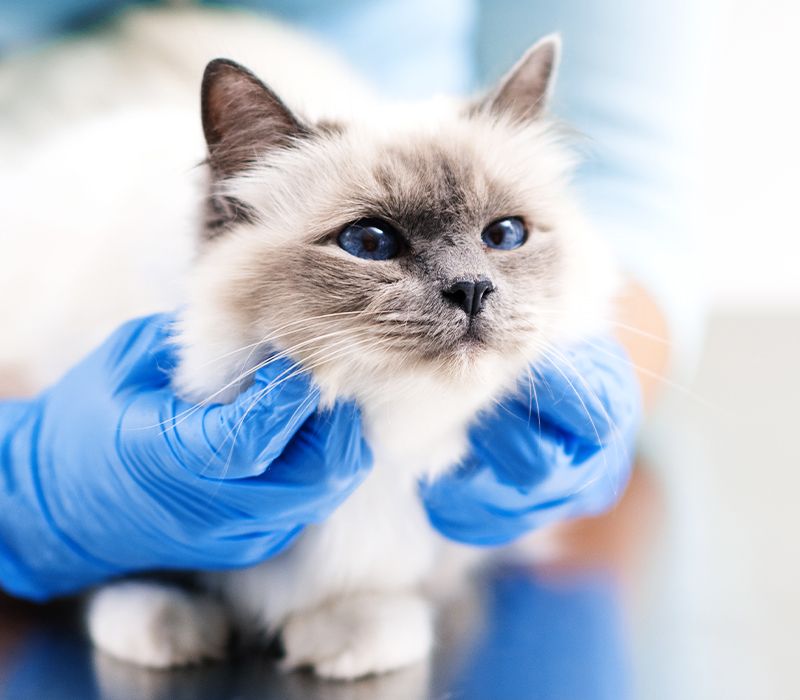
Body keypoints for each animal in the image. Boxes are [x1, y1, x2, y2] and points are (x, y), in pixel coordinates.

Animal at [0, 5, 612, 680]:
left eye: (504, 235)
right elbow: (127, 558)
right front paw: (170, 624)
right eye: (369, 242)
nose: (473, 288)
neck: (377, 435)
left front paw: (349, 636)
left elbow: (380, 592)